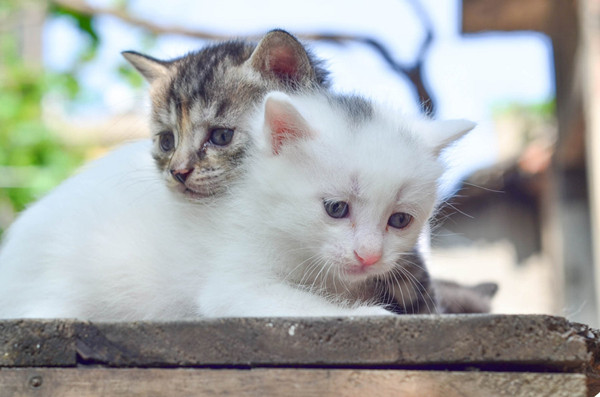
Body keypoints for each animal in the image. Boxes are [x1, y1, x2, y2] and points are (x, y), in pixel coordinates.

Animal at [0, 90, 474, 318]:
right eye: (336, 209)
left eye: (400, 220)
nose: (369, 256)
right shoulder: (233, 284)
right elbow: (301, 304)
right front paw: (368, 315)